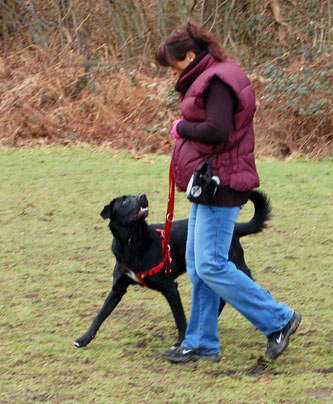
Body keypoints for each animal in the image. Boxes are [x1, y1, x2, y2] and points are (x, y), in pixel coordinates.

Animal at [74, 191, 270, 348]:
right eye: (125, 201)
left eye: (133, 196)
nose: (143, 196)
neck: (133, 241)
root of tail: (234, 229)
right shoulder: (118, 288)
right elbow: (100, 315)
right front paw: (84, 339)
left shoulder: (169, 287)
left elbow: (179, 317)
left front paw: (182, 341)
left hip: (232, 268)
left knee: (257, 293)